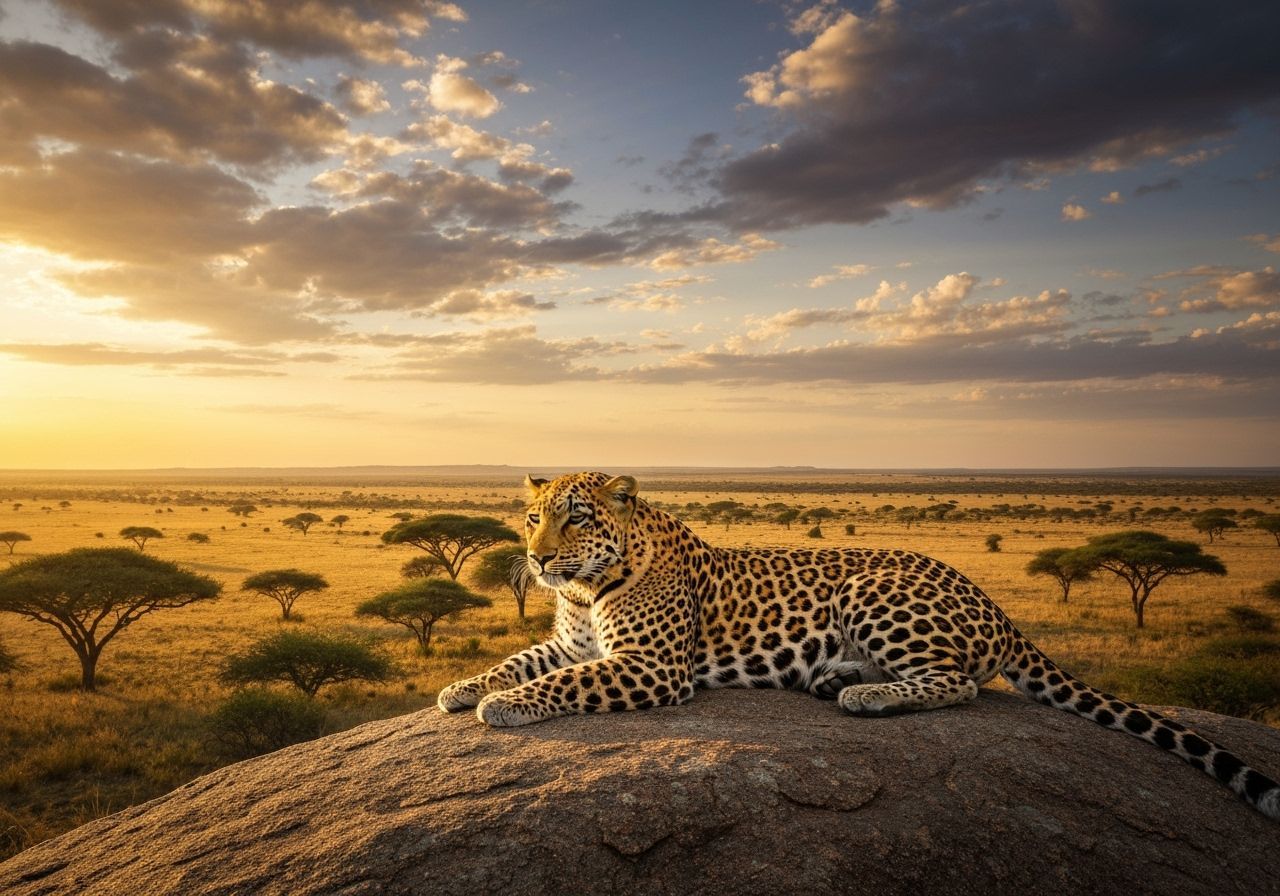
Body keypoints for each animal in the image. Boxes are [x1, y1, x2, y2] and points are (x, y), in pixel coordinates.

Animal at [438, 471, 1280, 820]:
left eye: (576, 518)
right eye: (531, 519)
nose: (537, 558)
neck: (586, 588)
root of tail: (998, 607)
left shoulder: (651, 668)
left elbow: (558, 685)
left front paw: (504, 708)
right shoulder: (572, 642)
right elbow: (521, 660)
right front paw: (463, 687)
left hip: (871, 587)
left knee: (960, 683)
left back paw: (863, 694)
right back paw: (833, 676)